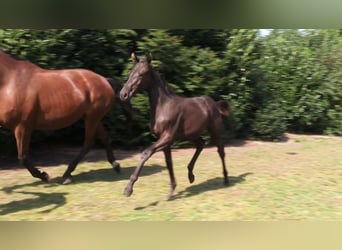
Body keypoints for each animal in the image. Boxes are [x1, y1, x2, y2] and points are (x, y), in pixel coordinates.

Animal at [0, 49, 122, 184]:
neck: (10, 82)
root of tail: (104, 80)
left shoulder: (22, 126)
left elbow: (22, 157)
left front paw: (44, 176)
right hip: (93, 117)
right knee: (104, 138)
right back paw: (115, 165)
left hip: (92, 117)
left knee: (88, 143)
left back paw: (67, 174)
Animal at [119, 52, 230, 197]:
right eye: (131, 72)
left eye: (142, 74)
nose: (123, 94)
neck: (163, 106)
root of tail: (214, 104)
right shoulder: (165, 140)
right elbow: (169, 163)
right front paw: (172, 190)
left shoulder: (167, 137)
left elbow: (145, 153)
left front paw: (128, 189)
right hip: (192, 134)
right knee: (201, 144)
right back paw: (190, 175)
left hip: (215, 131)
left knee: (221, 151)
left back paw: (226, 179)